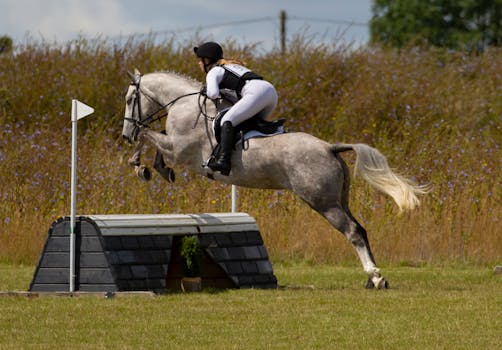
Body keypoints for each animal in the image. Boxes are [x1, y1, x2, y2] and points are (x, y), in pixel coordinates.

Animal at [121, 69, 428, 290]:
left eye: (130, 100)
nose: (125, 134)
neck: (183, 103)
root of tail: (329, 147)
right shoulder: (173, 146)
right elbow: (153, 141)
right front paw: (155, 169)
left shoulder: (179, 148)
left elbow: (148, 135)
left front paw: (140, 166)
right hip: (338, 198)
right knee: (360, 229)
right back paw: (372, 277)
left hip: (323, 202)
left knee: (352, 231)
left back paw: (376, 278)